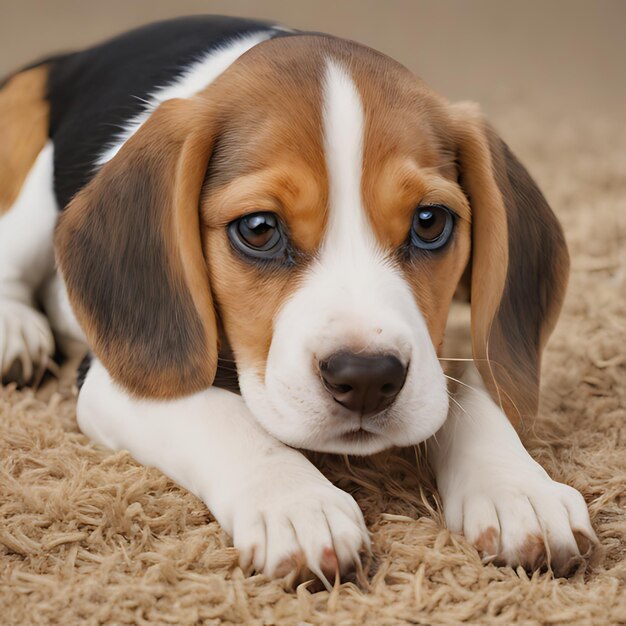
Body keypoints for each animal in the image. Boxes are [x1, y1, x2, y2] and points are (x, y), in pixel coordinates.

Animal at [1, 14, 596, 580]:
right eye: (259, 229)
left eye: (430, 222)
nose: (366, 379)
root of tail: (72, 56)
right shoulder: (118, 381)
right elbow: (226, 417)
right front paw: (298, 505)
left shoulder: (436, 348)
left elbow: (471, 388)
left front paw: (521, 490)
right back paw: (16, 334)